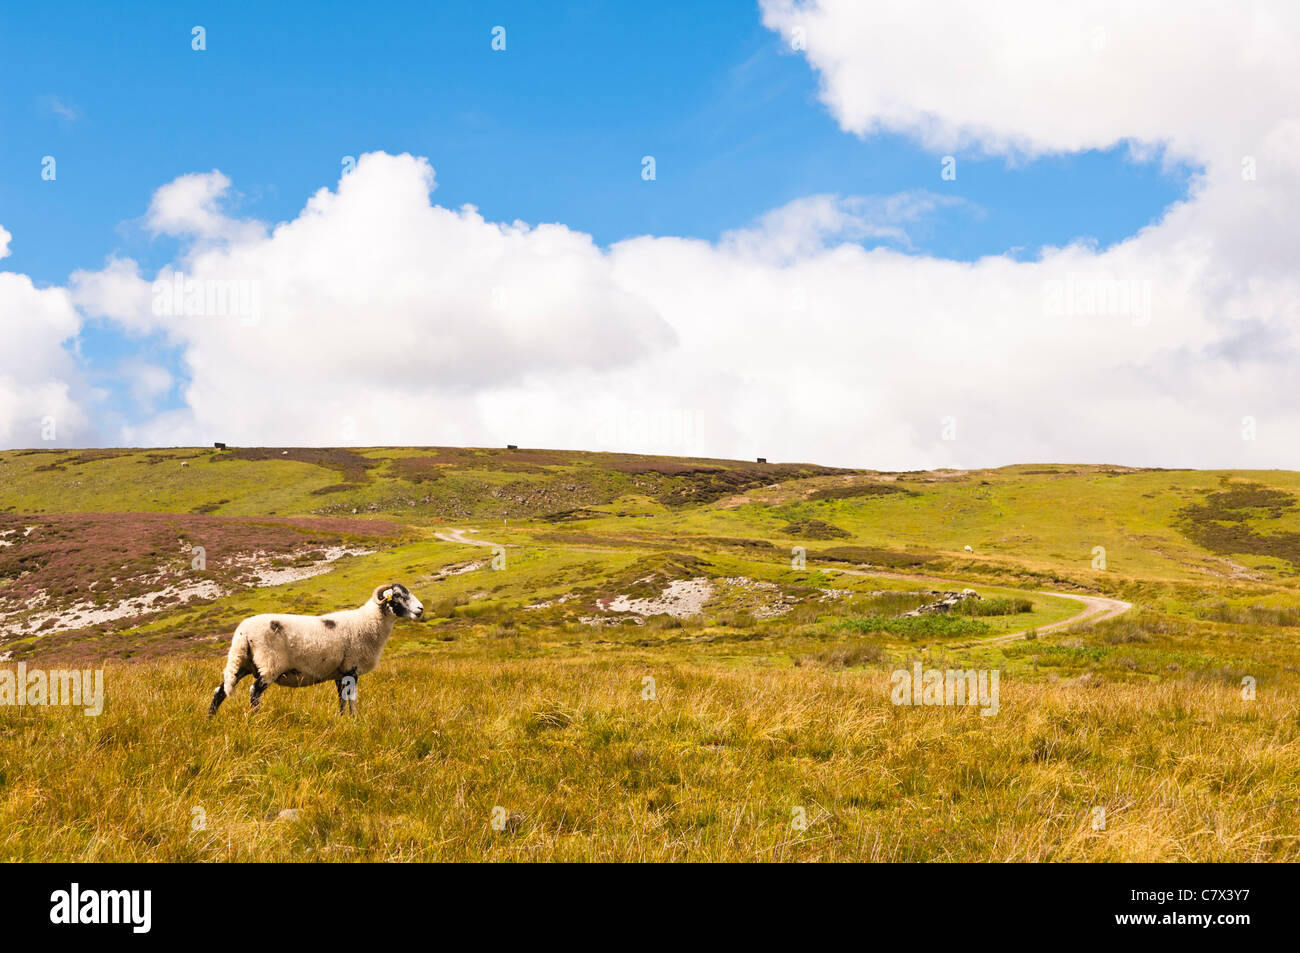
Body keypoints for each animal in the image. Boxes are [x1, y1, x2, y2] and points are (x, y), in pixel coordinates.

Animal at [205, 579, 423, 712]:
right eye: (398, 595)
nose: (420, 609)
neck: (368, 622)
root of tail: (242, 632)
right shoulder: (351, 669)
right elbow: (351, 700)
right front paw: (355, 722)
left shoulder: (339, 673)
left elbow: (342, 700)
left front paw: (343, 721)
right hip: (269, 664)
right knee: (254, 692)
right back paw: (255, 720)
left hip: (242, 662)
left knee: (220, 691)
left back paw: (210, 719)